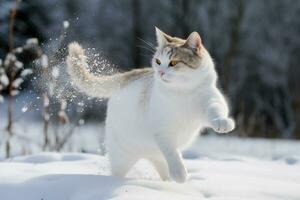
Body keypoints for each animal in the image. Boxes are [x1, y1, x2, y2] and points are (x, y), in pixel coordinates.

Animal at [67, 27, 236, 184]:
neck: (182, 93)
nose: (160, 73)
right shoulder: (162, 132)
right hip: (121, 157)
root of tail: (128, 76)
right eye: (158, 61)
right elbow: (171, 152)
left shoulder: (211, 100)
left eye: (173, 63)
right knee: (119, 171)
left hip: (154, 155)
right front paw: (180, 173)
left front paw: (222, 123)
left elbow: (216, 111)